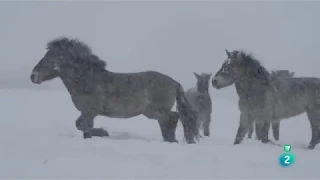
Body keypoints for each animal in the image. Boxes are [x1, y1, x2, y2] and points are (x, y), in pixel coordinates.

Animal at [30, 37, 200, 144]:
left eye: (49, 57)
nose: (33, 76)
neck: (86, 80)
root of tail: (175, 83)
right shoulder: (87, 112)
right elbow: (81, 126)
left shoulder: (90, 111)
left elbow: (83, 126)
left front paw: (102, 133)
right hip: (153, 112)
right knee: (169, 120)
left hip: (154, 111)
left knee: (173, 117)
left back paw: (174, 139)